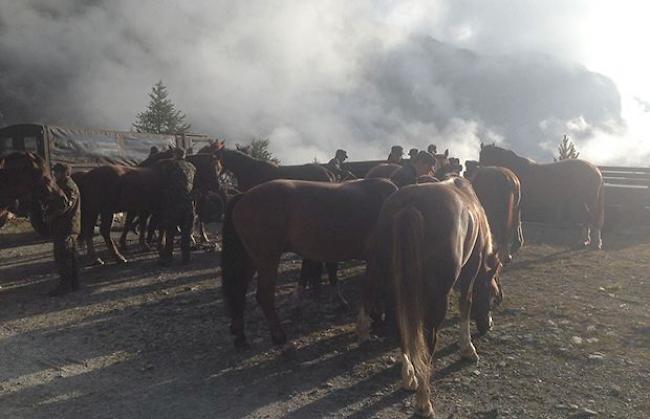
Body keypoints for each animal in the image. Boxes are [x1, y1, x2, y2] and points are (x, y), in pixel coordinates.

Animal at [76, 149, 220, 264]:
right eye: (211, 168)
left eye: (218, 168)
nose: (217, 187)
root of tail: (87, 175)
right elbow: (158, 226)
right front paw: (158, 245)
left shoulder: (154, 210)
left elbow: (154, 226)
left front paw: (152, 244)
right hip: (105, 211)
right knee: (104, 231)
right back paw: (118, 257)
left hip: (93, 211)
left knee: (89, 231)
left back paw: (95, 258)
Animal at [221, 179, 394, 350]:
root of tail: (244, 196)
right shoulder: (375, 258)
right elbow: (370, 291)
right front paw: (365, 330)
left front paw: (377, 317)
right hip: (268, 260)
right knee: (264, 296)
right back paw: (280, 339)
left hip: (252, 260)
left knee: (239, 291)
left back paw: (240, 336)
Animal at [354, 178, 502, 419]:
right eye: (493, 296)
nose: (487, 325)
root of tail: (409, 205)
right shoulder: (471, 269)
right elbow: (465, 304)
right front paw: (467, 348)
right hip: (436, 298)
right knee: (428, 341)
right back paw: (423, 402)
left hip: (390, 281)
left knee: (401, 326)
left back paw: (409, 377)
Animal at [476, 144, 604, 249]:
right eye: (481, 156)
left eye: (488, 157)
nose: (481, 175)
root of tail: (596, 170)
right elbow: (518, 222)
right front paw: (519, 242)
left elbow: (516, 222)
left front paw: (517, 243)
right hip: (582, 202)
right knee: (587, 218)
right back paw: (584, 241)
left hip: (589, 200)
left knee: (595, 218)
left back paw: (596, 244)